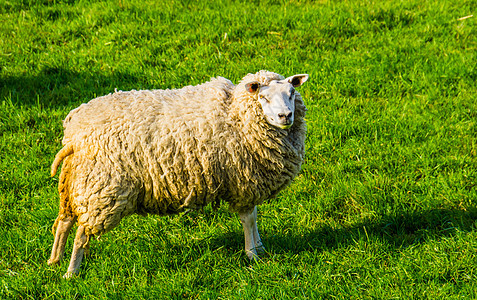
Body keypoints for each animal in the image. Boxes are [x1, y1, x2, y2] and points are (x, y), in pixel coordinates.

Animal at [47, 69, 308, 276]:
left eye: (291, 93)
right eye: (263, 97)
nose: (286, 116)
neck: (236, 114)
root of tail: (75, 132)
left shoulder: (245, 183)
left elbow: (252, 217)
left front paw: (260, 248)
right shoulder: (244, 181)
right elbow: (248, 218)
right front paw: (252, 253)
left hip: (77, 181)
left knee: (65, 221)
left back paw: (54, 260)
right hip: (103, 188)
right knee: (82, 232)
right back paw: (72, 272)